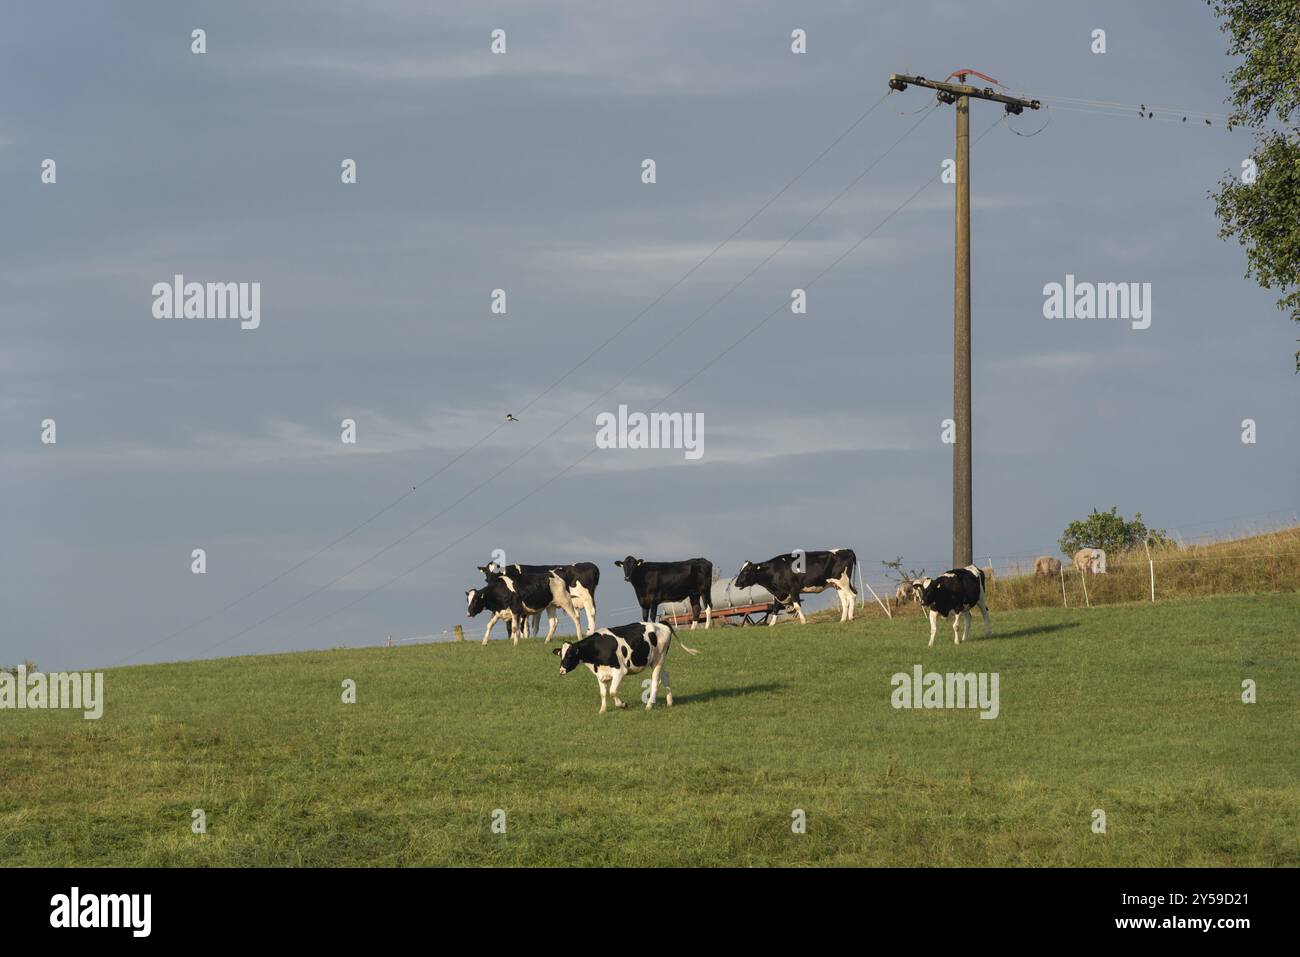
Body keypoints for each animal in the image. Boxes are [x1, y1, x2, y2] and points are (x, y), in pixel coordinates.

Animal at [553, 621, 699, 714]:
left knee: (655, 681)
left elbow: (612, 691)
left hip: (658, 659)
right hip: (658, 660)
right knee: (665, 677)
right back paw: (669, 702)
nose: (561, 670)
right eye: (561, 655)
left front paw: (623, 705)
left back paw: (649, 705)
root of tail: (662, 623)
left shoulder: (620, 671)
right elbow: (603, 693)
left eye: (570, 655)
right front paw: (602, 710)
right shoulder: (600, 675)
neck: (598, 648)